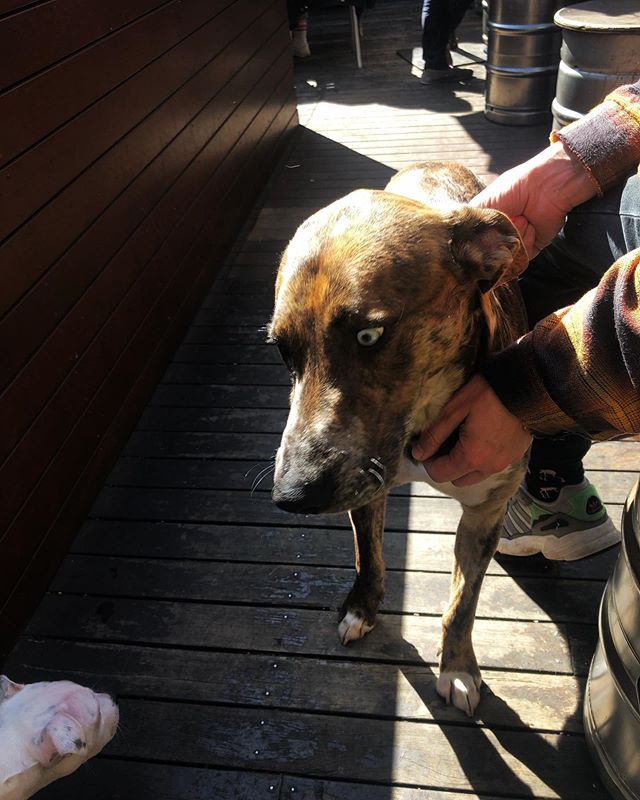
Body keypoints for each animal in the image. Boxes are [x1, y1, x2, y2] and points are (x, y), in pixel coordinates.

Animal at [268, 159, 528, 716]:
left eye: (370, 335)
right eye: (282, 350)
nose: (292, 495)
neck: (421, 427)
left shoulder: (483, 513)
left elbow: (462, 603)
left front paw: (458, 668)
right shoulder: (366, 488)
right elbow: (368, 556)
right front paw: (362, 609)